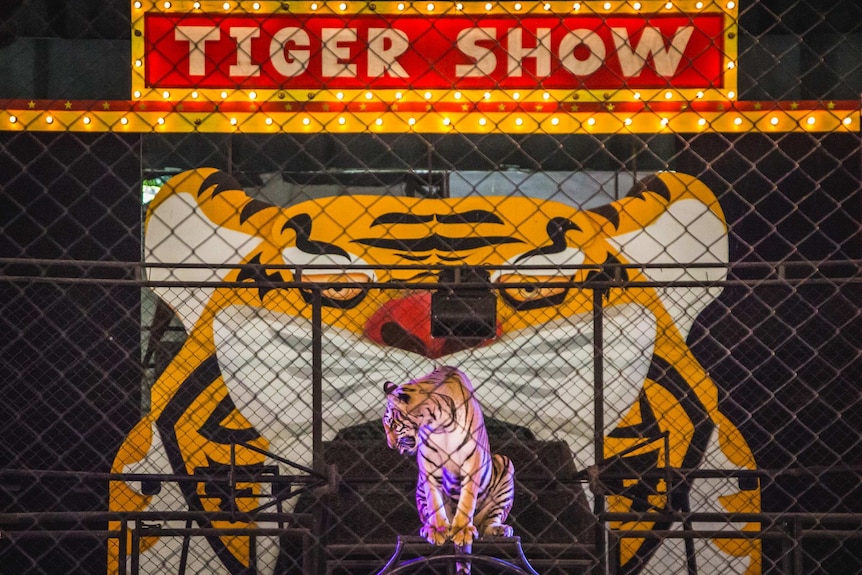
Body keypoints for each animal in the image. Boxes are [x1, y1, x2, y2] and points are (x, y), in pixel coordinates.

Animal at [384, 364, 512, 564]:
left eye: (391, 424)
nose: (389, 444)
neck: (438, 422)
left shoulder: (472, 460)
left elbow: (467, 500)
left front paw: (462, 531)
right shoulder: (428, 464)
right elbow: (434, 500)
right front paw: (437, 530)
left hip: (505, 467)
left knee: (489, 520)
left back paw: (498, 529)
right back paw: (428, 528)